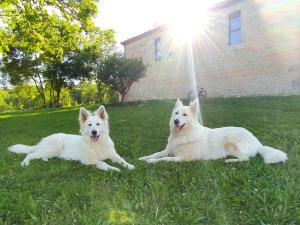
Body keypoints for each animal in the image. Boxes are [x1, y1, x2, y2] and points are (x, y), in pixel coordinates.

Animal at [139, 98, 288, 163]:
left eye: (184, 115)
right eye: (176, 113)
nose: (176, 121)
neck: (182, 135)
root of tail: (258, 144)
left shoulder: (182, 158)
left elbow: (164, 159)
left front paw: (151, 162)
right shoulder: (169, 150)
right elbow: (156, 154)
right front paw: (144, 157)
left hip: (229, 140)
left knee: (245, 159)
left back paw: (229, 161)